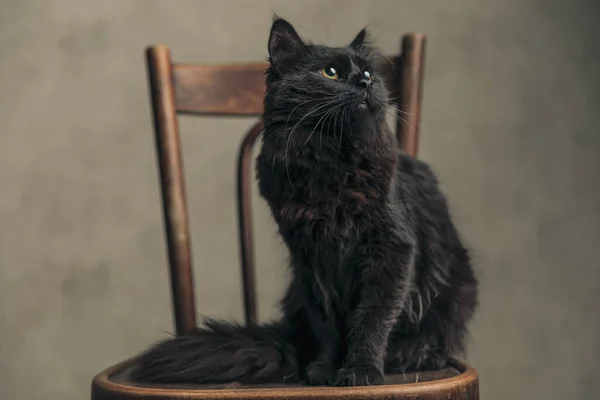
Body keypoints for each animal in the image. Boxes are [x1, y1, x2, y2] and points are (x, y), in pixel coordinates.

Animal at [132, 17, 478, 386]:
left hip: (457, 285)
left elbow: (371, 320)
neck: (330, 163)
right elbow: (326, 324)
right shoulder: (310, 259)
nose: (365, 82)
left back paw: (409, 355)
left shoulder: (391, 249)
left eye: (369, 72)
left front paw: (360, 370)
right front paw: (325, 368)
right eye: (331, 72)